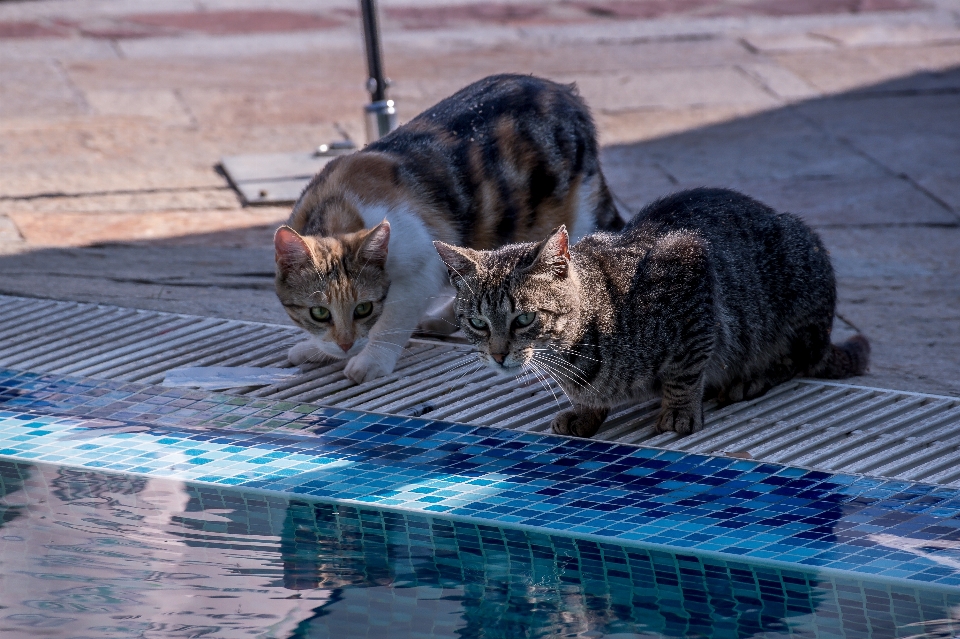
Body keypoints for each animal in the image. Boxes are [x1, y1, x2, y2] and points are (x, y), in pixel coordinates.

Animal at [276, 72, 624, 382]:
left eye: (363, 308)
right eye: (319, 313)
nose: (346, 345)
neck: (335, 204)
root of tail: (567, 93)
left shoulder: (419, 268)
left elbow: (392, 319)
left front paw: (371, 359)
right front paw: (320, 349)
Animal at [436, 188, 872, 438]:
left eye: (524, 319)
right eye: (477, 323)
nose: (498, 354)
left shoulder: (691, 273)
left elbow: (685, 369)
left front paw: (678, 411)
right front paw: (585, 413)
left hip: (797, 288)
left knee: (796, 359)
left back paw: (748, 380)